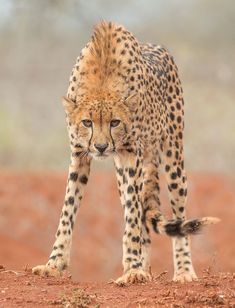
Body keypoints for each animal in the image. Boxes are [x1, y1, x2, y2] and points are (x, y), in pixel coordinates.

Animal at [32, 20, 219, 282]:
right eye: (87, 122)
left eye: (115, 122)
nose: (101, 147)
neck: (102, 80)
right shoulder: (79, 156)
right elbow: (67, 210)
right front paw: (53, 263)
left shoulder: (132, 157)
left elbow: (132, 215)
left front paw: (133, 266)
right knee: (143, 218)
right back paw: (145, 264)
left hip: (173, 158)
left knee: (177, 214)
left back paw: (182, 271)